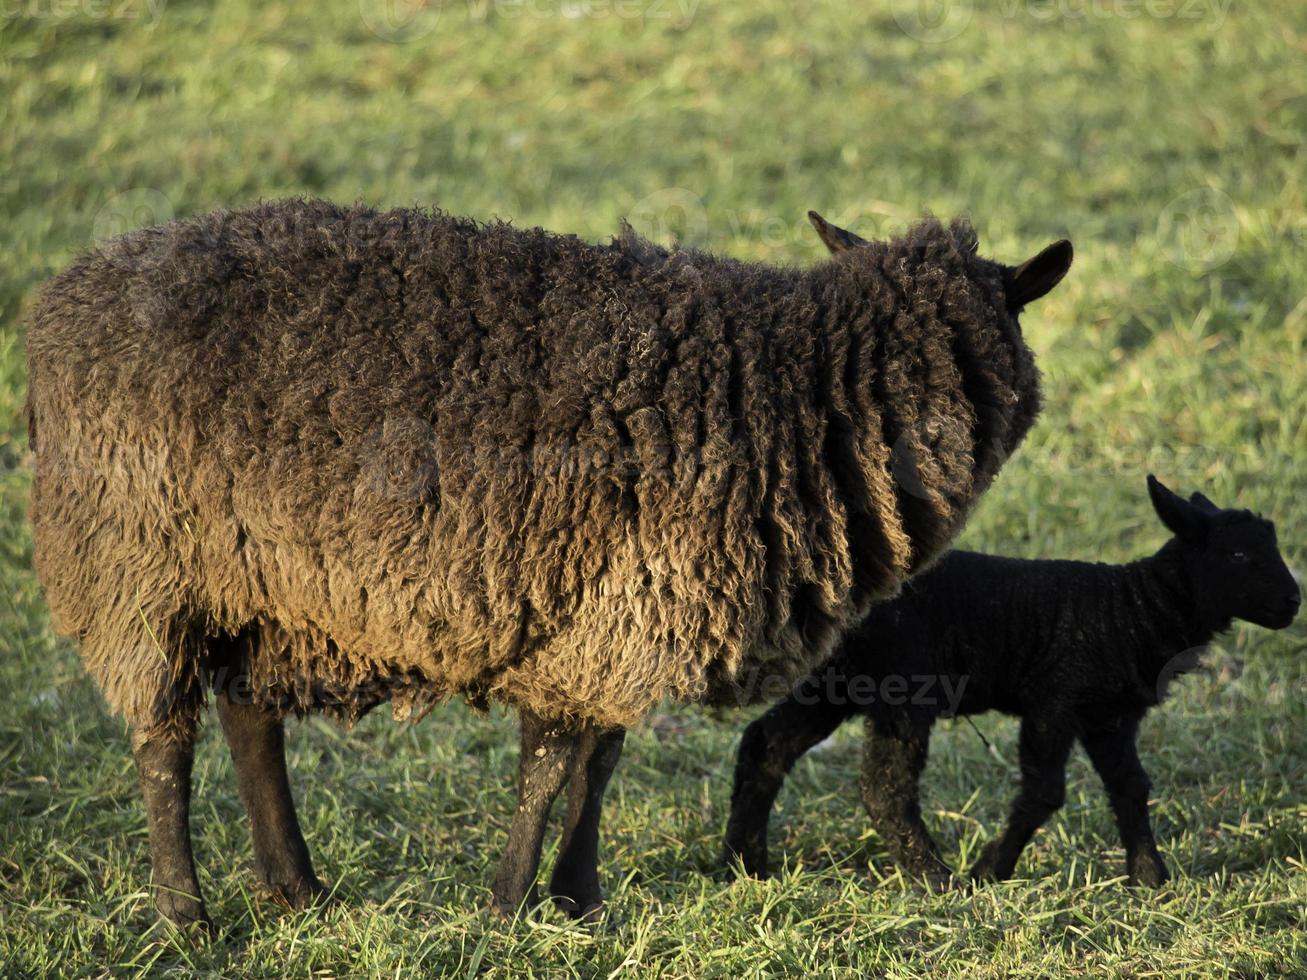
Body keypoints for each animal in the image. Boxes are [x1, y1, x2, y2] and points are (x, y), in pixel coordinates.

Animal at [25, 199, 1066, 930]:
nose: (929, 448)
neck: (798, 383)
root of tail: (64, 298)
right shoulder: (605, 606)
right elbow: (552, 763)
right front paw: (507, 907)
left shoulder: (623, 613)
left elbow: (598, 763)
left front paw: (579, 901)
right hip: (140, 566)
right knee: (164, 741)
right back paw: (188, 917)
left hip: (267, 584)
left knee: (248, 717)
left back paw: (297, 890)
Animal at [721, 478, 1301, 888]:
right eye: (1238, 555)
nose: (1294, 602)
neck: (1132, 610)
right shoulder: (1055, 700)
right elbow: (1045, 792)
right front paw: (990, 871)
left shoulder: (1109, 717)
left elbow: (1131, 787)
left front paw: (1150, 878)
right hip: (901, 686)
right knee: (885, 786)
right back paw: (936, 879)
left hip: (836, 682)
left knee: (766, 745)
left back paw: (742, 864)